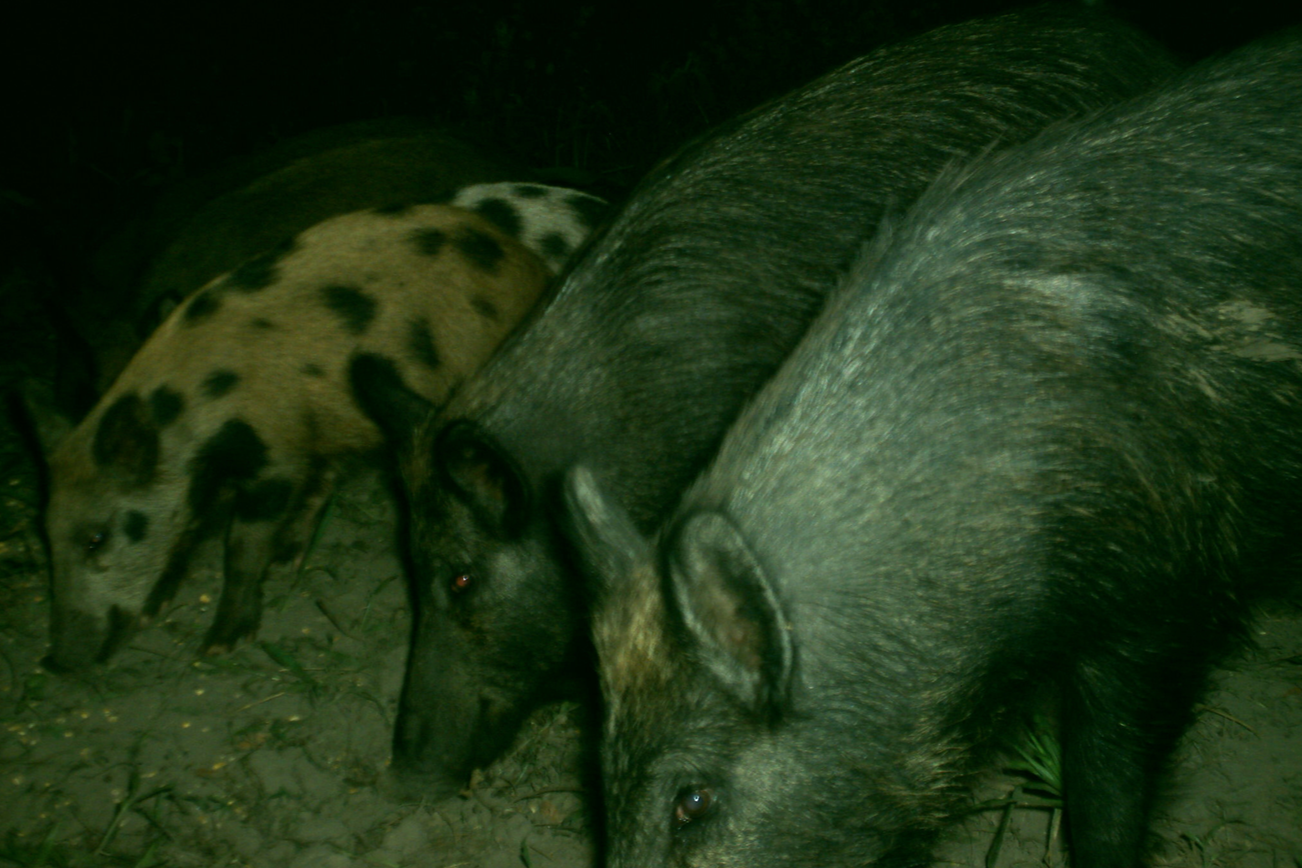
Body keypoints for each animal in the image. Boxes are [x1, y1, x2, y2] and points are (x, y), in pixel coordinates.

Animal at [40, 184, 605, 671]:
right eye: (47, 536)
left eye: (95, 538)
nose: (59, 662)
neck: (201, 409)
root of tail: (532, 268)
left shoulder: (275, 456)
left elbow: (241, 545)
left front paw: (220, 645)